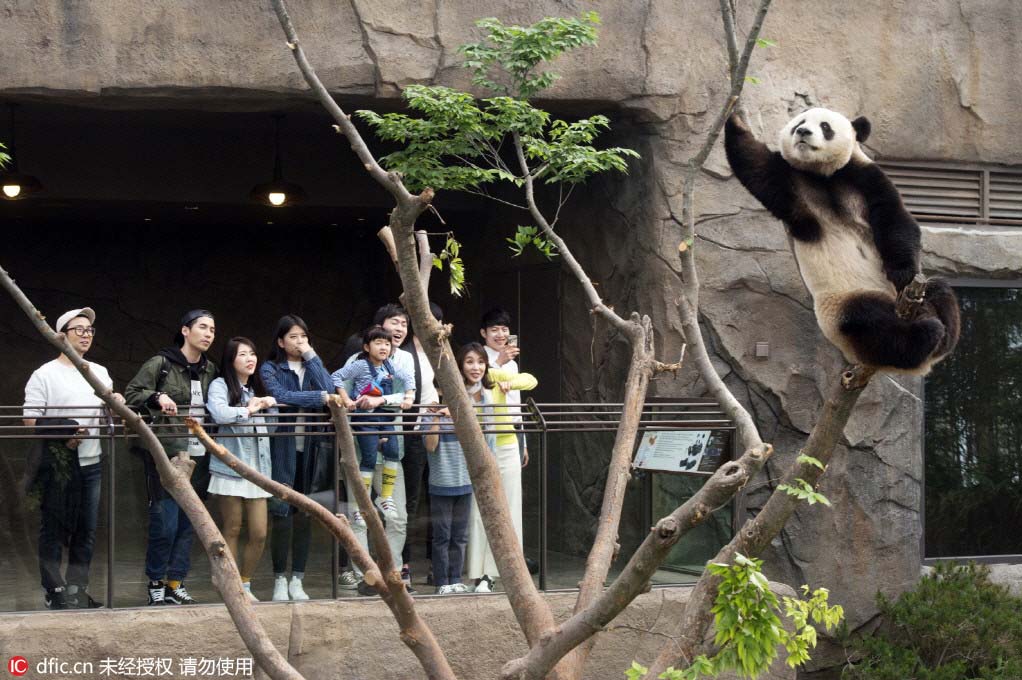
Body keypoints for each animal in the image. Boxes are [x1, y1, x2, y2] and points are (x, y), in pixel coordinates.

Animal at [723, 106, 960, 374]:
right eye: (799, 123)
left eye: (825, 126)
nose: (803, 132)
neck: (824, 174)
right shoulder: (793, 186)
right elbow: (758, 169)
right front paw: (735, 118)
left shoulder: (866, 177)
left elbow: (894, 218)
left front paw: (902, 272)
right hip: (838, 309)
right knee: (870, 322)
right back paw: (925, 335)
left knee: (938, 289)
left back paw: (941, 332)